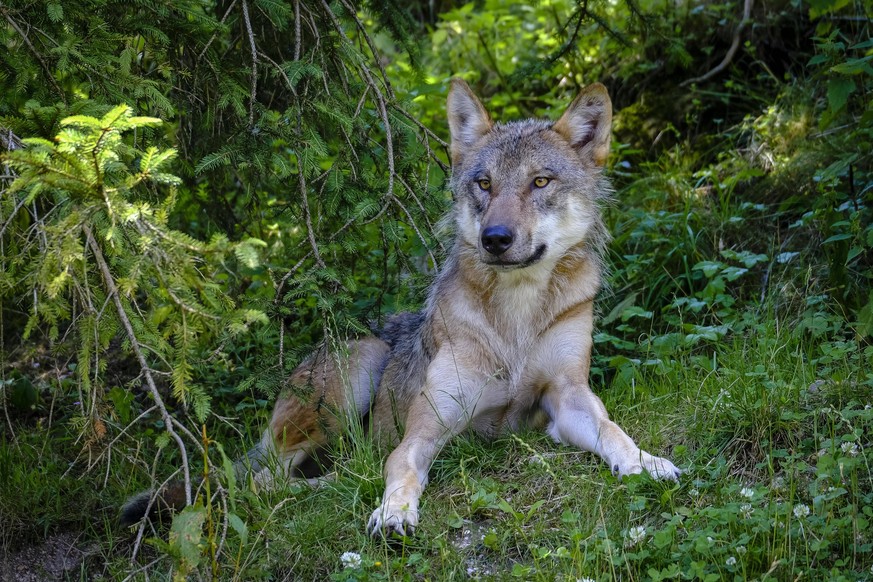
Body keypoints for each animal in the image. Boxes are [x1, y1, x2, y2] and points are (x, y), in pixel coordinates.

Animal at [121, 78, 680, 540]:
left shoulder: (566, 399)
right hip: (358, 367)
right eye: (484, 184)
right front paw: (393, 513)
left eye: (540, 182)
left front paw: (647, 463)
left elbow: (613, 432)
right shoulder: (428, 427)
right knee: (265, 483)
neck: (515, 319)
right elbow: (402, 467)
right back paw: (333, 483)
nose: (495, 239)